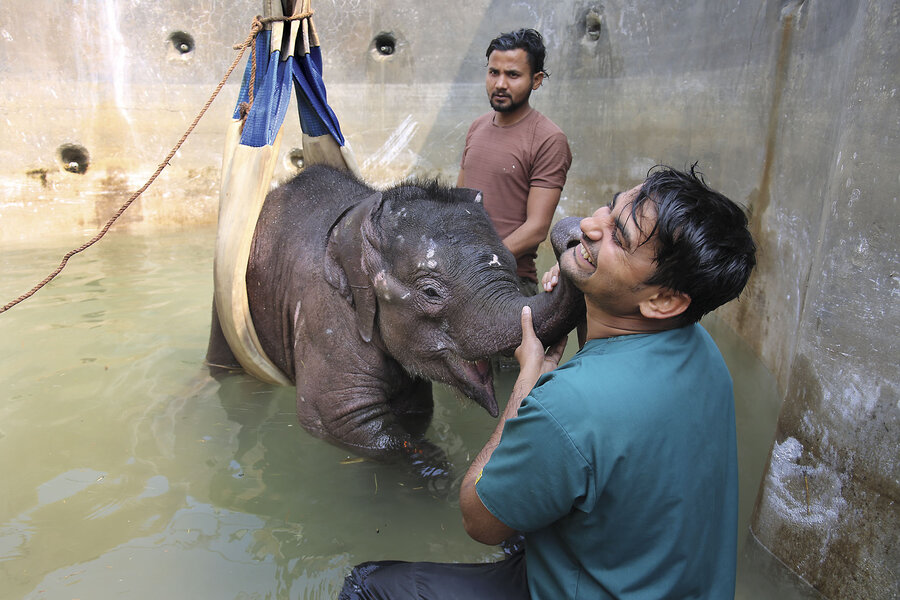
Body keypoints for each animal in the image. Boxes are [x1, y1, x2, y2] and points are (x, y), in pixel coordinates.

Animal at [206, 165, 585, 480]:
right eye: (430, 291)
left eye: (510, 262)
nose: (574, 236)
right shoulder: (325, 317)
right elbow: (335, 418)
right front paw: (438, 477)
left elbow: (415, 409)